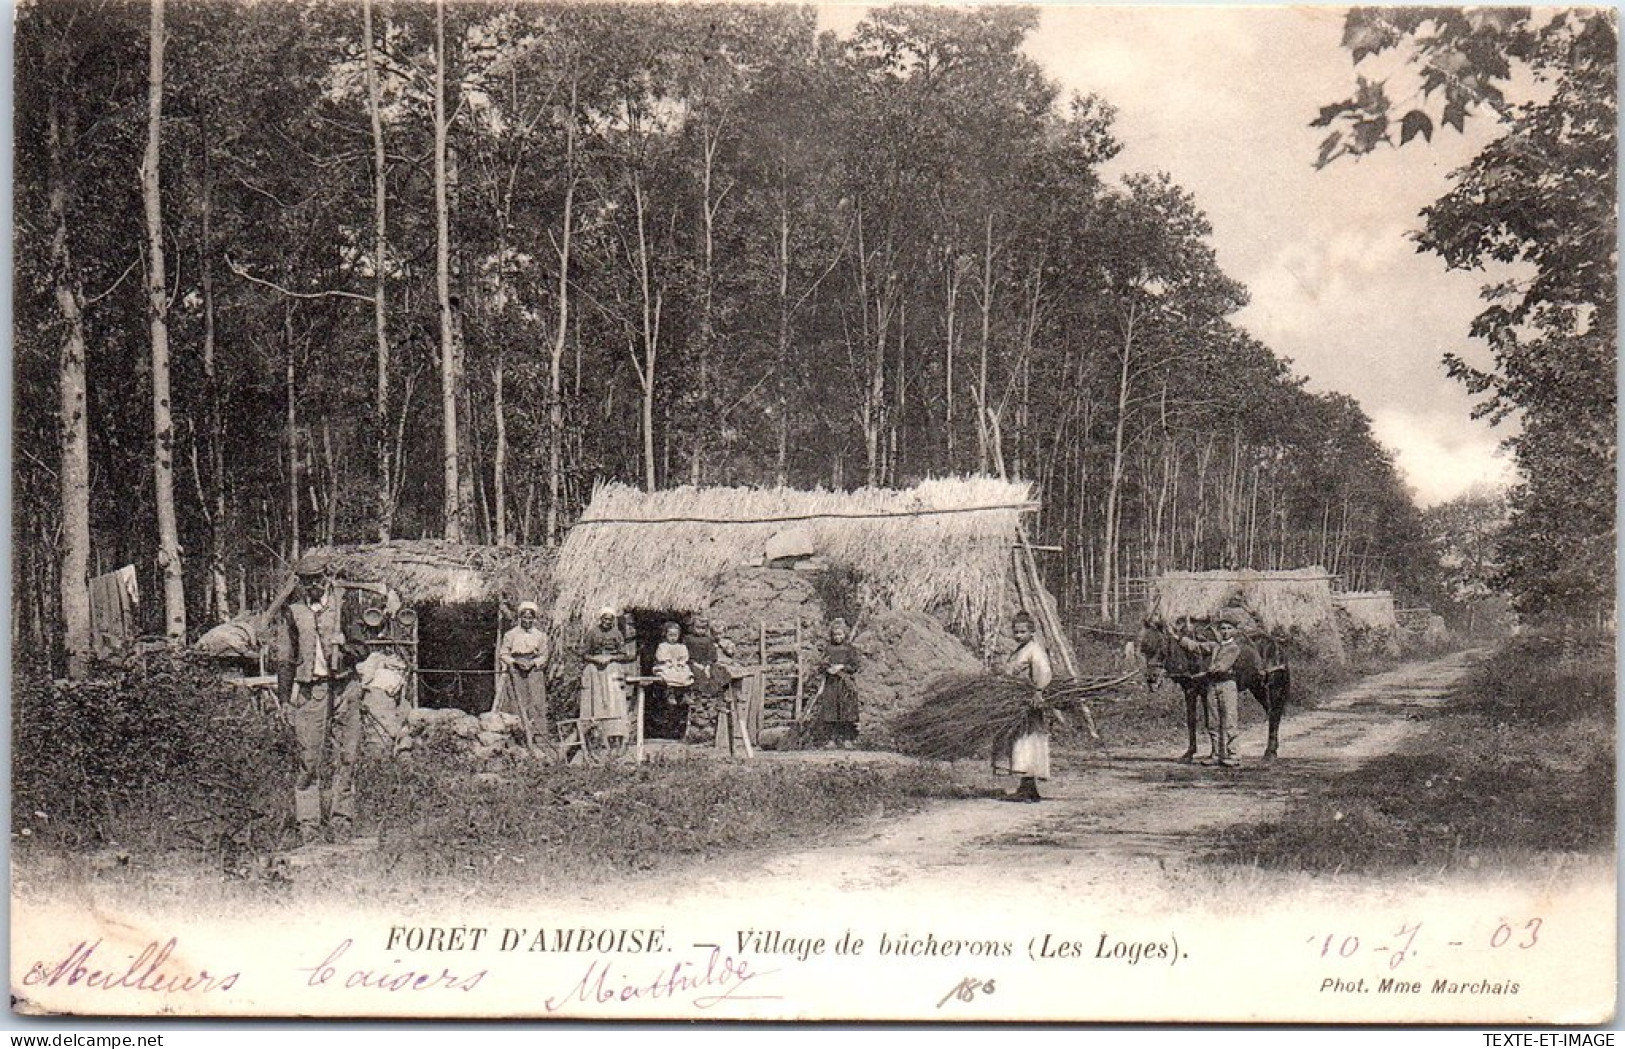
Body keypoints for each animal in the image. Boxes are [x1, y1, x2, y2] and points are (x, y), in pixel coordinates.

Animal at [1137, 617, 1287, 763]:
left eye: (1162, 647)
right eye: (1144, 650)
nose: (1151, 678)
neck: (1190, 657)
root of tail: (1276, 645)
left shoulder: (1193, 690)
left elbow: (1195, 721)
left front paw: (1190, 754)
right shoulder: (1198, 692)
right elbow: (1206, 722)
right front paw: (1211, 754)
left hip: (1270, 687)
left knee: (1274, 714)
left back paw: (1269, 753)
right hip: (1257, 688)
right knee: (1272, 712)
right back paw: (1273, 750)